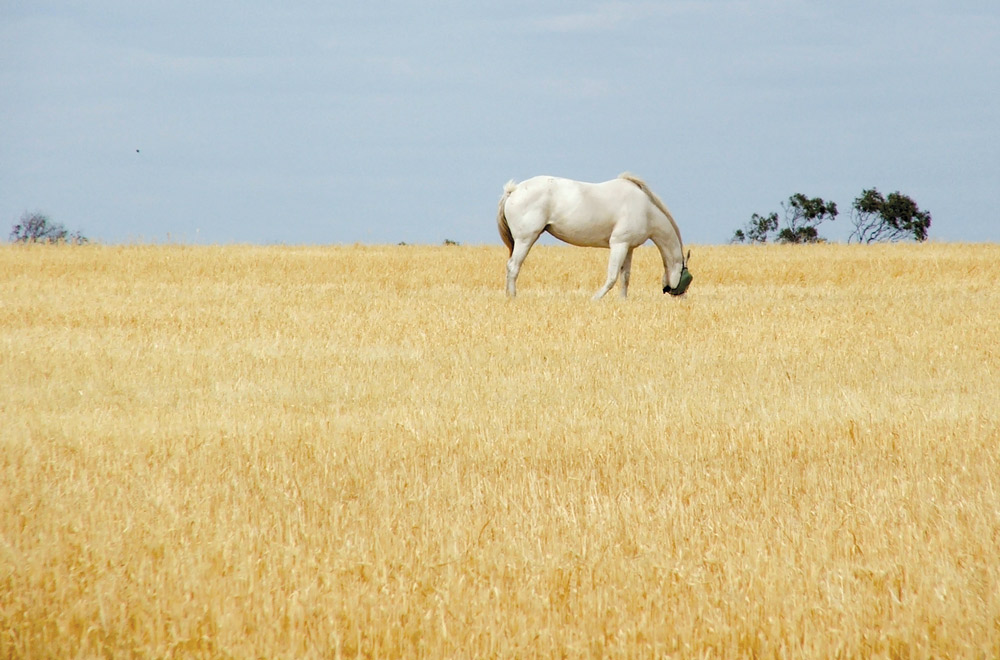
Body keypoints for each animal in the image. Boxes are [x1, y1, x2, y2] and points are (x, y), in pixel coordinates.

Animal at [496, 174, 692, 300]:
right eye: (687, 279)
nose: (683, 299)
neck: (645, 209)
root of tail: (514, 190)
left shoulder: (628, 247)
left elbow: (625, 277)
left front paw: (623, 301)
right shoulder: (618, 244)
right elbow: (612, 276)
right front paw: (595, 298)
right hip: (525, 240)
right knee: (513, 267)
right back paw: (513, 297)